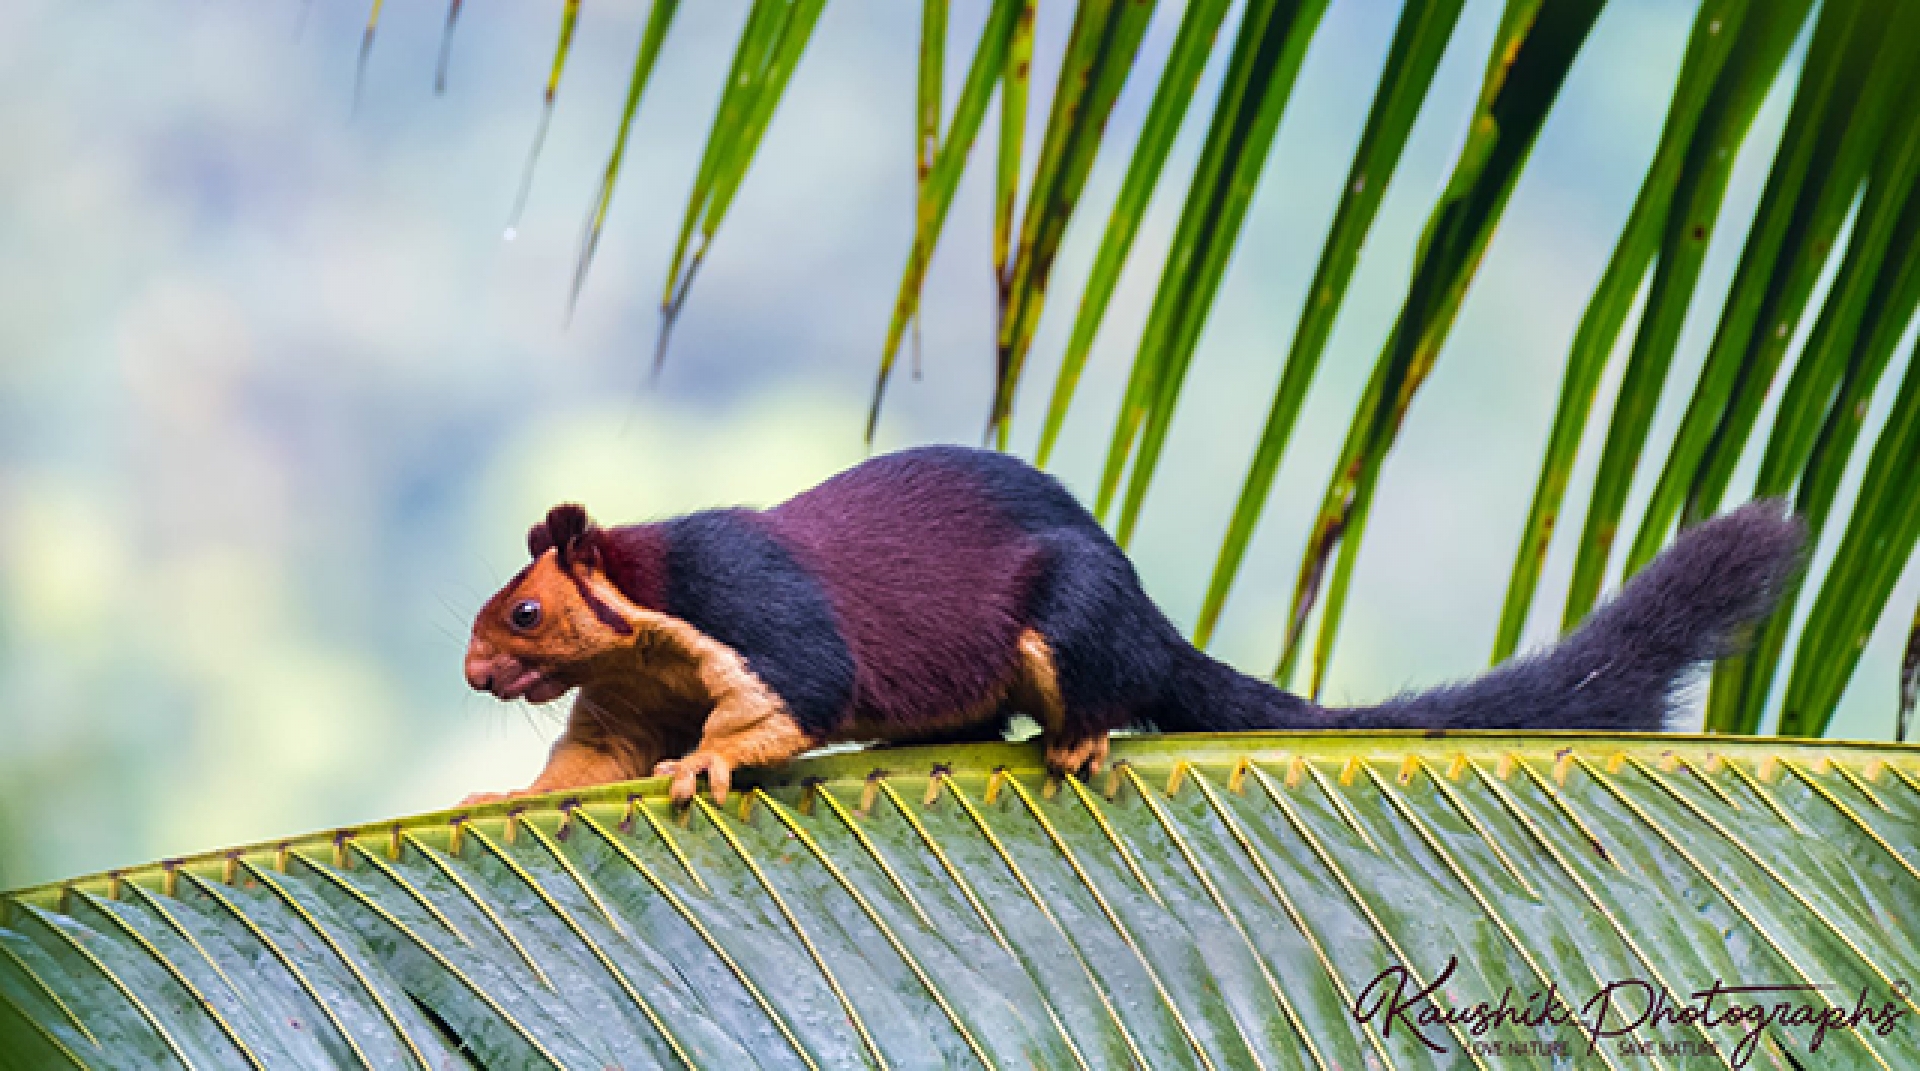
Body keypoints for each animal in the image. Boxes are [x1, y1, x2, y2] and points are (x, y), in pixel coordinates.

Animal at [463, 445, 1804, 806]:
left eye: (525, 610)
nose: (475, 673)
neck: (649, 605)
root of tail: (1155, 621)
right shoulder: (633, 682)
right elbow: (594, 758)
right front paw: (506, 792)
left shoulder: (750, 605)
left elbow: (793, 690)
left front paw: (705, 764)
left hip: (1071, 619)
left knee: (1096, 686)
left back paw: (1082, 738)